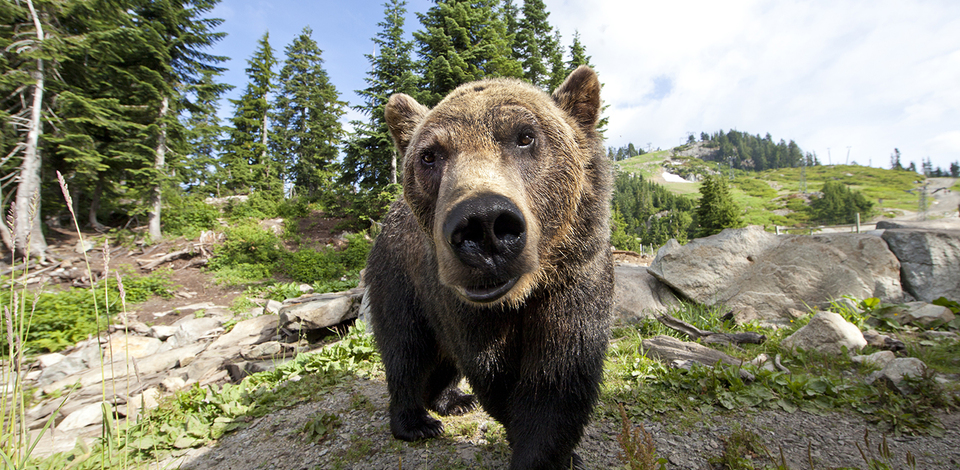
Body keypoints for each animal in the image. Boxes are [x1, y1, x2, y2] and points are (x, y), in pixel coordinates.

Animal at [364, 67, 612, 470]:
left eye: (525, 136)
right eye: (430, 155)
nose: (483, 224)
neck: (522, 294)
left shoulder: (575, 279)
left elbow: (560, 374)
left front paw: (558, 454)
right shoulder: (459, 303)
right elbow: (492, 371)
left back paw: (453, 400)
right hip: (398, 278)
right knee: (406, 348)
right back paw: (415, 421)